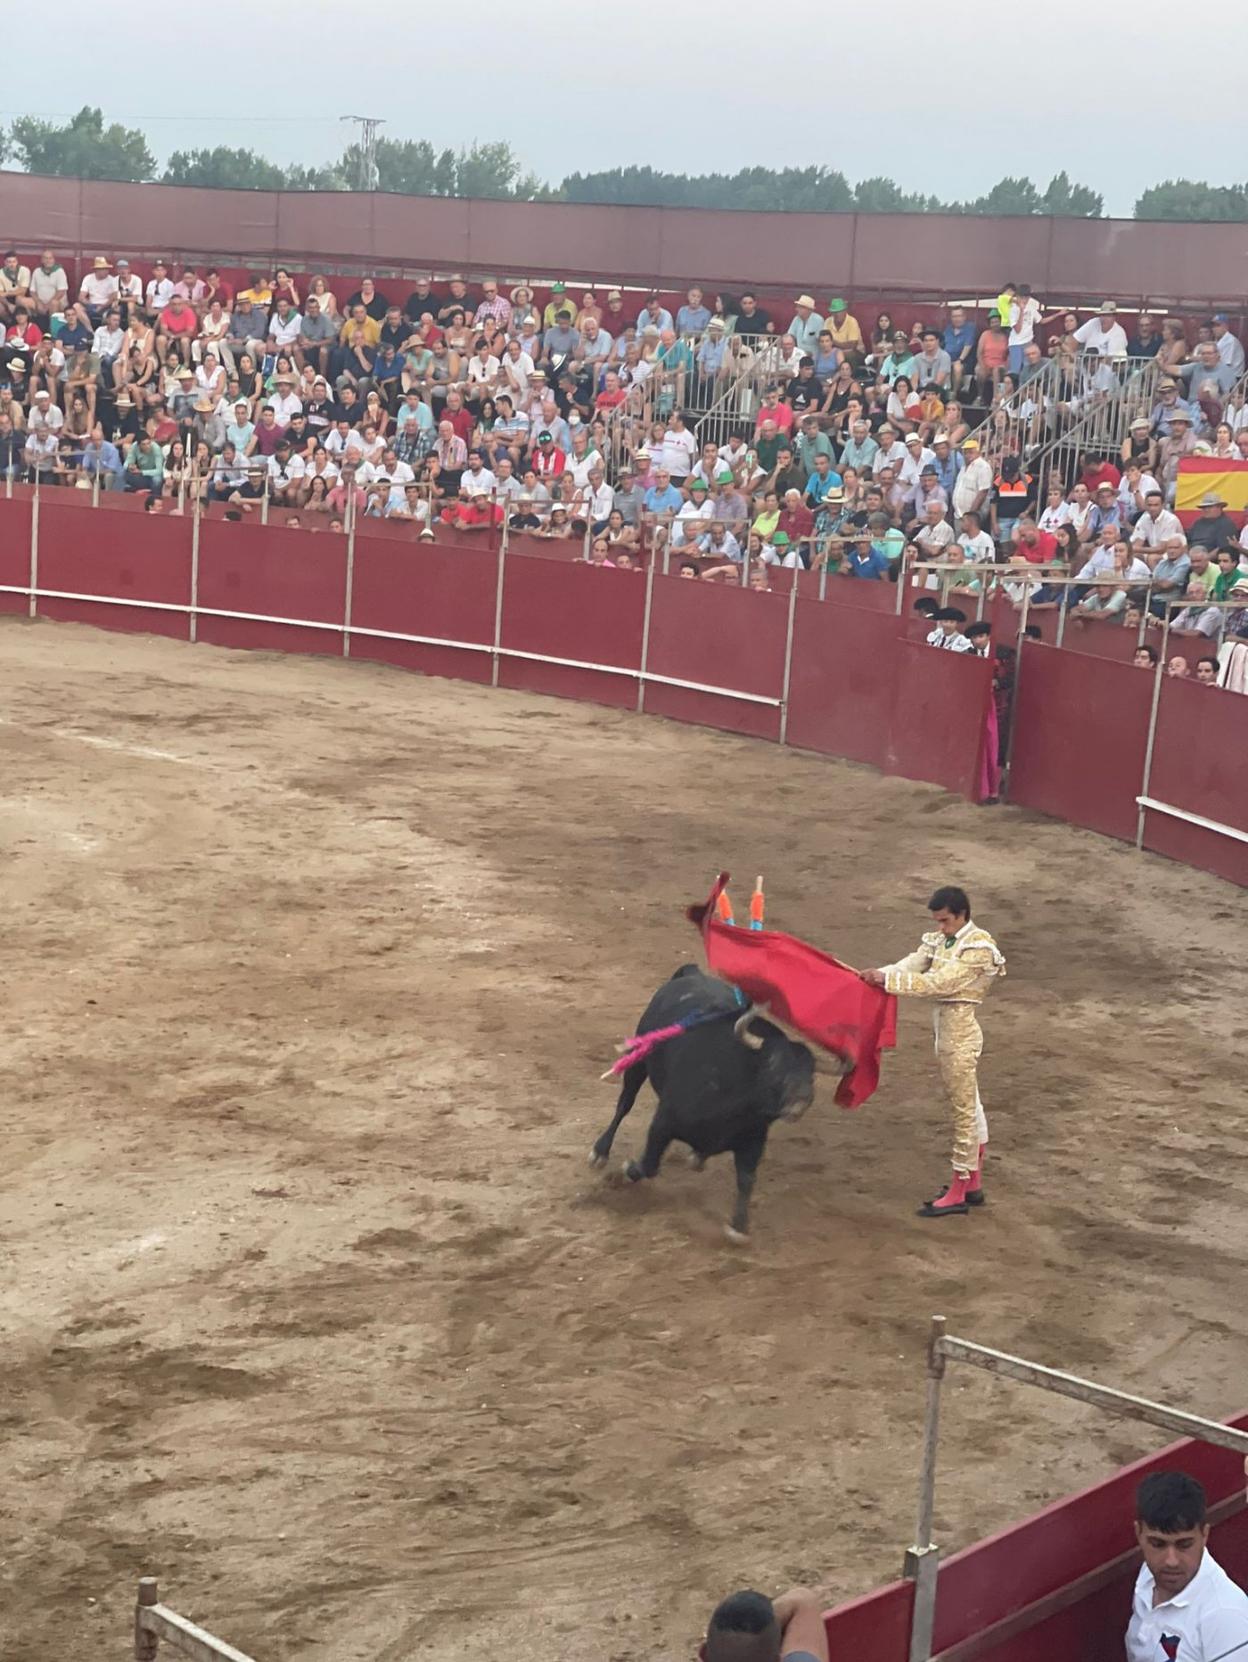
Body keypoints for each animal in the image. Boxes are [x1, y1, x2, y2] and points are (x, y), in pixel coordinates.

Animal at [591, 970, 820, 1243]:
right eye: (774, 1062)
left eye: (812, 1074)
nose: (802, 1099)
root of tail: (692, 972)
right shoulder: (664, 1123)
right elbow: (649, 1164)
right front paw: (628, 1170)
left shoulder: (753, 1142)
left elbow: (746, 1180)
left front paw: (738, 1226)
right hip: (639, 1062)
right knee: (624, 1104)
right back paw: (600, 1152)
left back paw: (697, 1158)